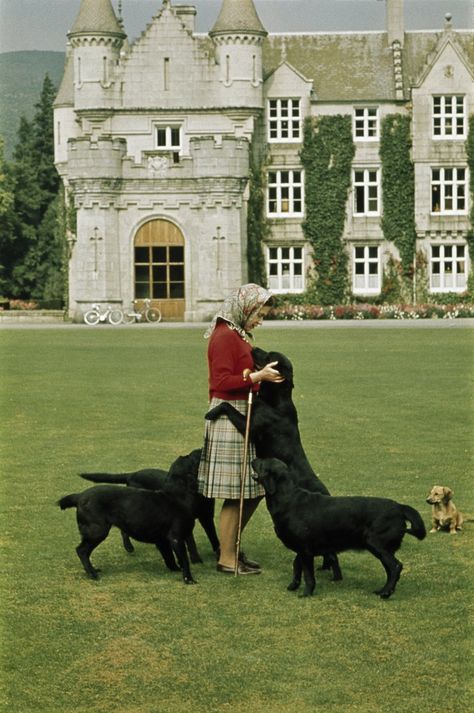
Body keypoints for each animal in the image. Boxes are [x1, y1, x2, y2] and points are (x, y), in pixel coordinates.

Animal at [57, 450, 202, 584]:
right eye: (191, 458)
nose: (200, 449)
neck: (178, 495)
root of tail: (79, 496)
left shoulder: (162, 540)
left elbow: (169, 557)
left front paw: (175, 569)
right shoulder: (176, 538)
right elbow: (184, 560)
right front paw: (189, 579)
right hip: (97, 531)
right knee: (81, 550)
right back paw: (92, 573)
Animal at [80, 448, 219, 564]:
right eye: (195, 456)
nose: (202, 448)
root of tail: (132, 474)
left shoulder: (207, 517)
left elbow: (214, 537)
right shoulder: (184, 519)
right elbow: (191, 542)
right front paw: (196, 560)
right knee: (124, 530)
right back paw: (129, 547)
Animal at [206, 344, 340, 580]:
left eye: (269, 356)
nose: (253, 347)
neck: (274, 398)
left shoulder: (250, 426)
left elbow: (227, 406)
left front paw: (212, 411)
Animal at [252, 456, 426, 596]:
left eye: (262, 461)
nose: (253, 459)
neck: (288, 499)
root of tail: (400, 507)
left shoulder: (306, 549)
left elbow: (308, 574)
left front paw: (306, 593)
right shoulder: (301, 549)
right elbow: (296, 565)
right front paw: (293, 586)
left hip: (376, 543)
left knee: (395, 567)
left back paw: (385, 592)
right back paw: (386, 590)